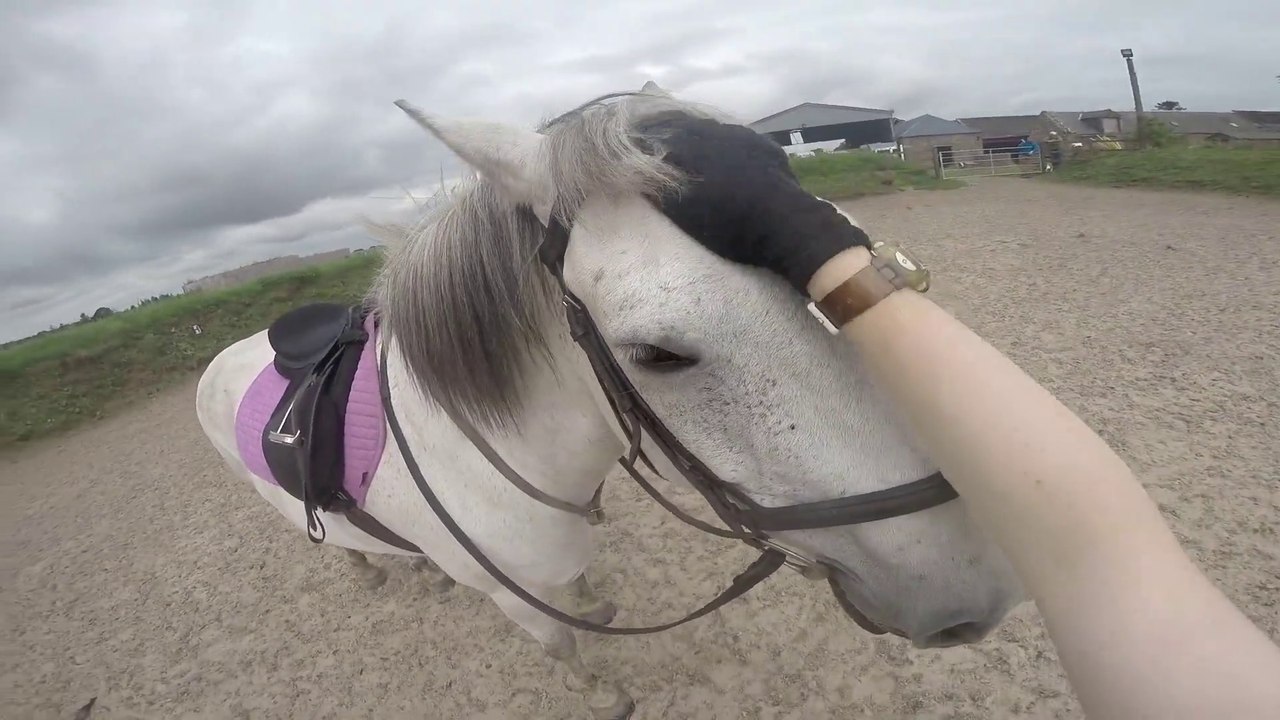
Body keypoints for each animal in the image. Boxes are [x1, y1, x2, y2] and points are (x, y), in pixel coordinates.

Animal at [195, 83, 1024, 719]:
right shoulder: (516, 600)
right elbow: (564, 646)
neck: (483, 457)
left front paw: (592, 600)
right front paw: (601, 695)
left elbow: (579, 594)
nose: (971, 588)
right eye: (656, 355)